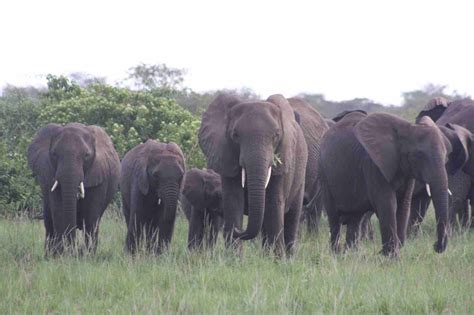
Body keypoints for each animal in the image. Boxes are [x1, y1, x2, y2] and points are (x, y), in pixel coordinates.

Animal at [27, 122, 120, 256]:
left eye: (86, 155)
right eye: (54, 154)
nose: (75, 249)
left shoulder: (100, 174)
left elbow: (91, 217)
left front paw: (86, 256)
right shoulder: (50, 172)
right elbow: (58, 211)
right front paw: (62, 255)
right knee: (49, 223)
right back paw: (48, 255)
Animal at [199, 93, 308, 256]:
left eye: (276, 135)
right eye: (235, 135)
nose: (238, 230)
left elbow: (274, 204)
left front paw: (277, 260)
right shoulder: (227, 157)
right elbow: (234, 201)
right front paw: (234, 258)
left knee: (292, 217)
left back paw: (288, 257)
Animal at [320, 112, 450, 258]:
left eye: (446, 157)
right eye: (419, 155)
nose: (436, 246)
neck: (408, 128)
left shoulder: (407, 171)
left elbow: (404, 205)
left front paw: (388, 254)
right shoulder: (373, 165)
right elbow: (388, 204)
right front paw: (390, 257)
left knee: (355, 219)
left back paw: (351, 253)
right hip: (325, 175)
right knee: (334, 219)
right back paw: (336, 253)